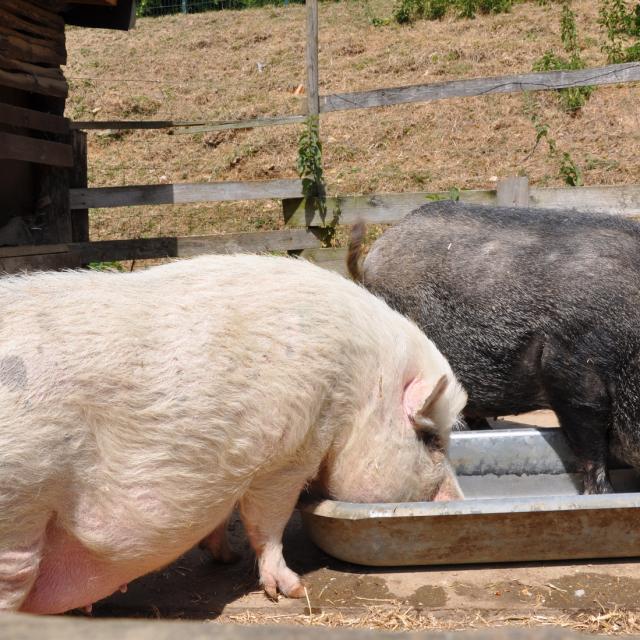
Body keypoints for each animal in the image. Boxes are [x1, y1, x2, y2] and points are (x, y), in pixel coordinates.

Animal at [1, 255, 464, 616]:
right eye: (431, 439)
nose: (458, 501)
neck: (359, 388)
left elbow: (224, 512)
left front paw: (225, 556)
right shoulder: (289, 452)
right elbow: (268, 521)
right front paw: (292, 590)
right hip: (17, 513)